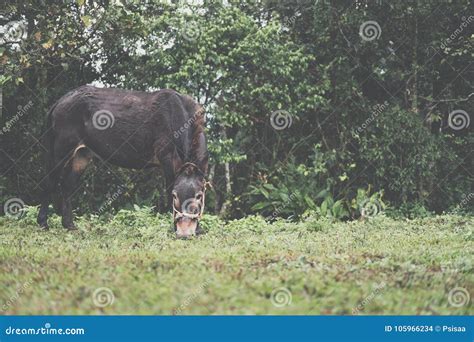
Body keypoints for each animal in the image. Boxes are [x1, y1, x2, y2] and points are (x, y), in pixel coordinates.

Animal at [36, 85, 207, 238]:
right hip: (61, 149)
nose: (185, 232)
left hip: (82, 154)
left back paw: (69, 225)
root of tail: (60, 101)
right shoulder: (167, 158)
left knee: (67, 185)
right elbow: (168, 188)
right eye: (174, 196)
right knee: (49, 182)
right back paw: (43, 223)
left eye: (199, 195)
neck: (179, 118)